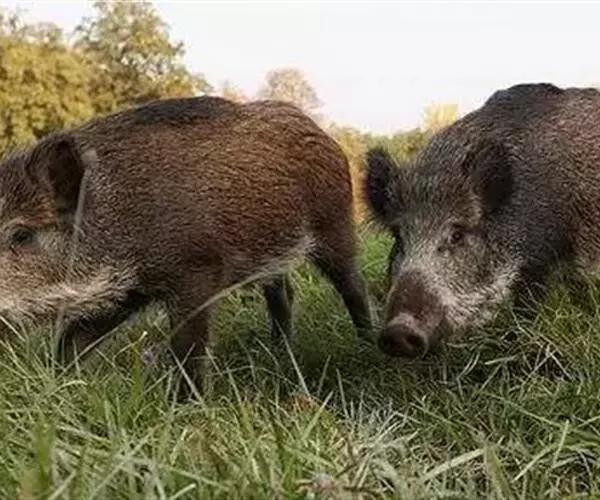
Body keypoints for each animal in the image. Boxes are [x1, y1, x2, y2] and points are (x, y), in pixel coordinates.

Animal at [0, 95, 373, 398]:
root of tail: (324, 134)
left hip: (335, 226)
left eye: (21, 235)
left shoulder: (196, 272)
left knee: (353, 286)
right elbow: (73, 339)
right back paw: (280, 352)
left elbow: (187, 347)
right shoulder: (125, 291)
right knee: (283, 292)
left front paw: (187, 406)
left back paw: (365, 345)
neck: (118, 210)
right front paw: (55, 384)